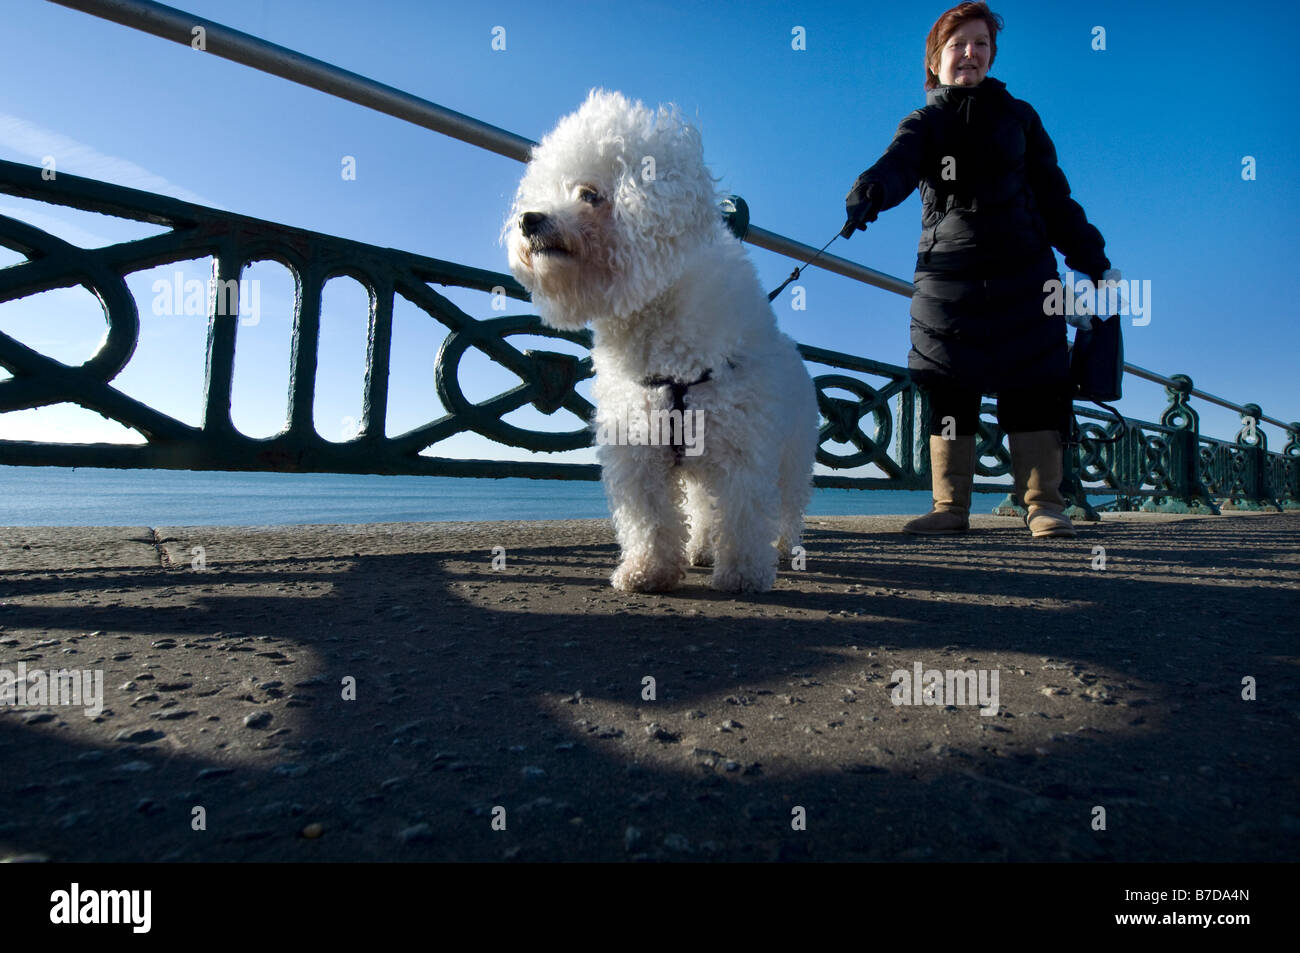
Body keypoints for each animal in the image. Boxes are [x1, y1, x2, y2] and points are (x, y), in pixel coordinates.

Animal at [504, 91, 816, 595]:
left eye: (590, 194)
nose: (529, 220)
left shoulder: (743, 446)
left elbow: (745, 512)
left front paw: (743, 573)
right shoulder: (639, 445)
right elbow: (649, 515)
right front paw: (649, 570)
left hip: (792, 452)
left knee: (788, 504)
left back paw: (785, 547)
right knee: (704, 507)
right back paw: (703, 549)